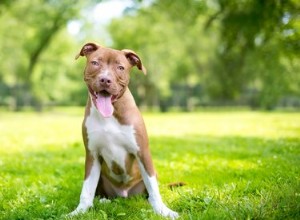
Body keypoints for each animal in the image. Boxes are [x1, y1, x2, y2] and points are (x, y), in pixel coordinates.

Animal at [68, 42, 178, 218]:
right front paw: (79, 212)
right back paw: (103, 201)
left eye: (120, 67)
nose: (105, 79)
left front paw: (163, 210)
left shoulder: (142, 151)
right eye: (95, 63)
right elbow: (86, 190)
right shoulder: (92, 155)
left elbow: (153, 188)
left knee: (149, 191)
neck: (111, 114)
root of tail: (124, 196)